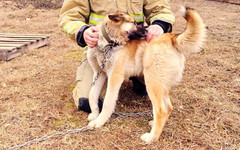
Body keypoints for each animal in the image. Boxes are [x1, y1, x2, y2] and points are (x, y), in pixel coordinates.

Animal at [86, 6, 206, 143]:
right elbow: (92, 95)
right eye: (133, 23)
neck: (107, 43)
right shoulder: (99, 74)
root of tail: (171, 37)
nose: (147, 30)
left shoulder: (115, 78)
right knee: (168, 107)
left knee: (161, 110)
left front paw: (99, 121)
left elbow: (107, 102)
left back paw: (152, 137)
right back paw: (155, 124)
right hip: (159, 84)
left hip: (151, 82)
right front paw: (95, 115)